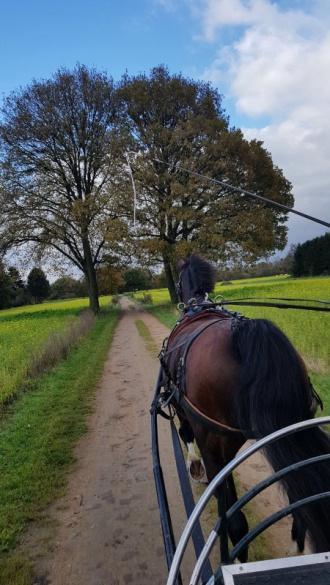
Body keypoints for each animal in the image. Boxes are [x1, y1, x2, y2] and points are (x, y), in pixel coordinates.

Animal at [162, 254, 330, 560]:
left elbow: (185, 433)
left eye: (178, 280)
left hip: (216, 444)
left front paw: (194, 467)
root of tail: (244, 332)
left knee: (236, 524)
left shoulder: (183, 409)